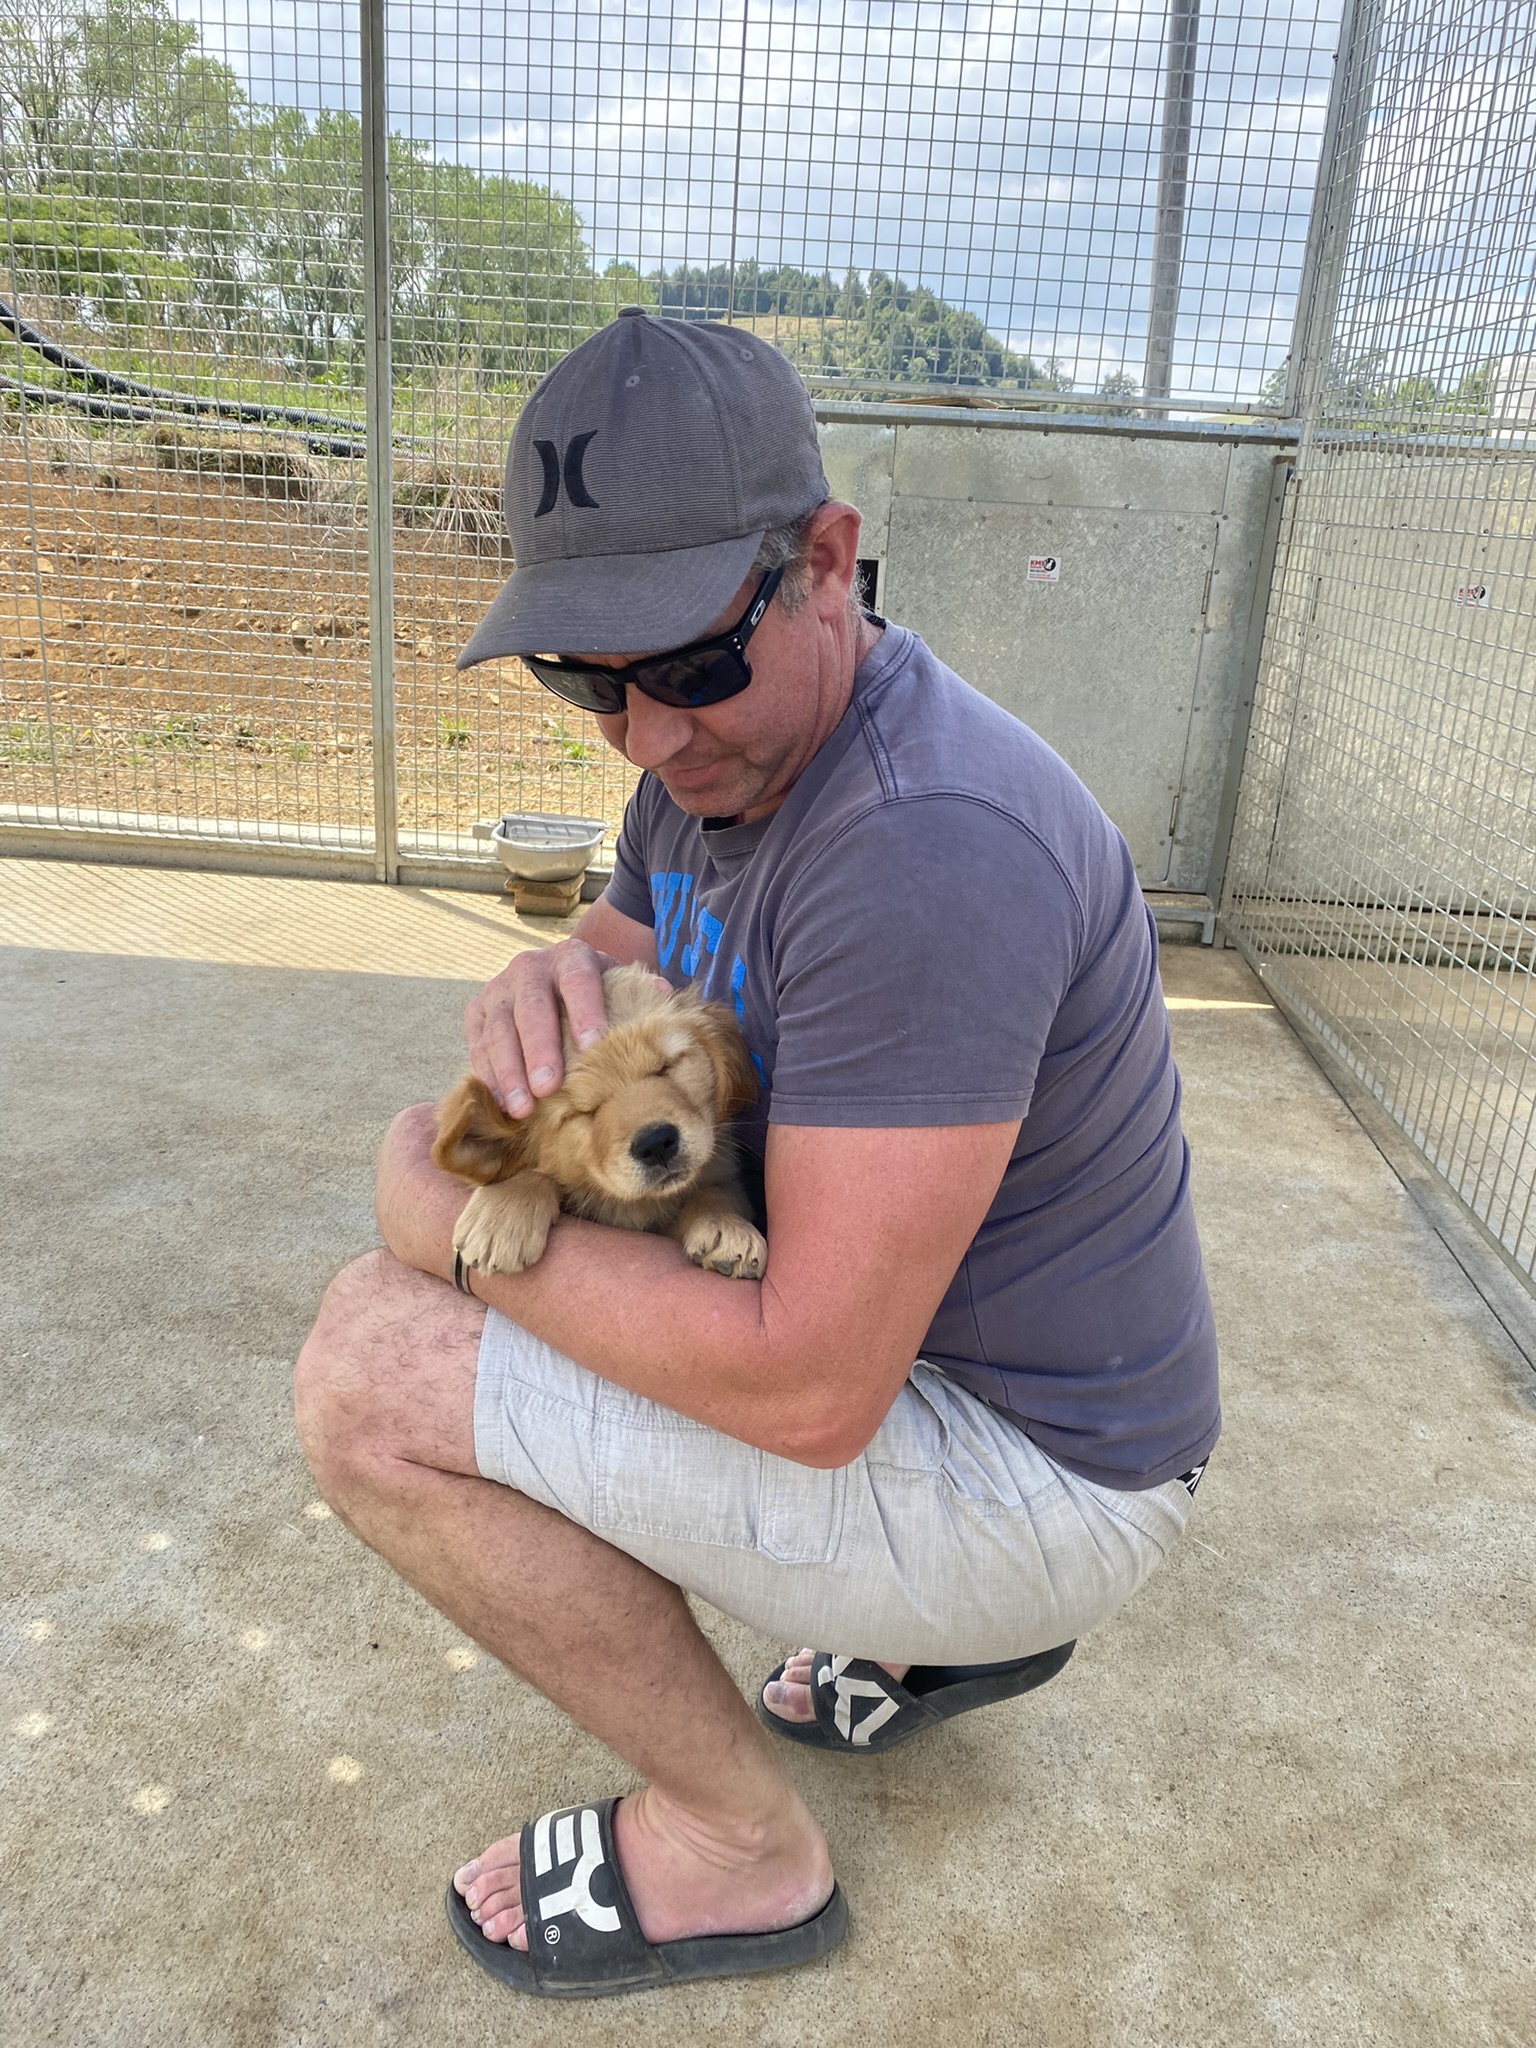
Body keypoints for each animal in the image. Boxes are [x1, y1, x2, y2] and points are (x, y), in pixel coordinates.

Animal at [434, 962, 770, 1277]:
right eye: (582, 1111)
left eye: (666, 1067)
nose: (656, 1143)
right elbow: (530, 1168)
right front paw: (505, 1210)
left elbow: (718, 1191)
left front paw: (727, 1225)